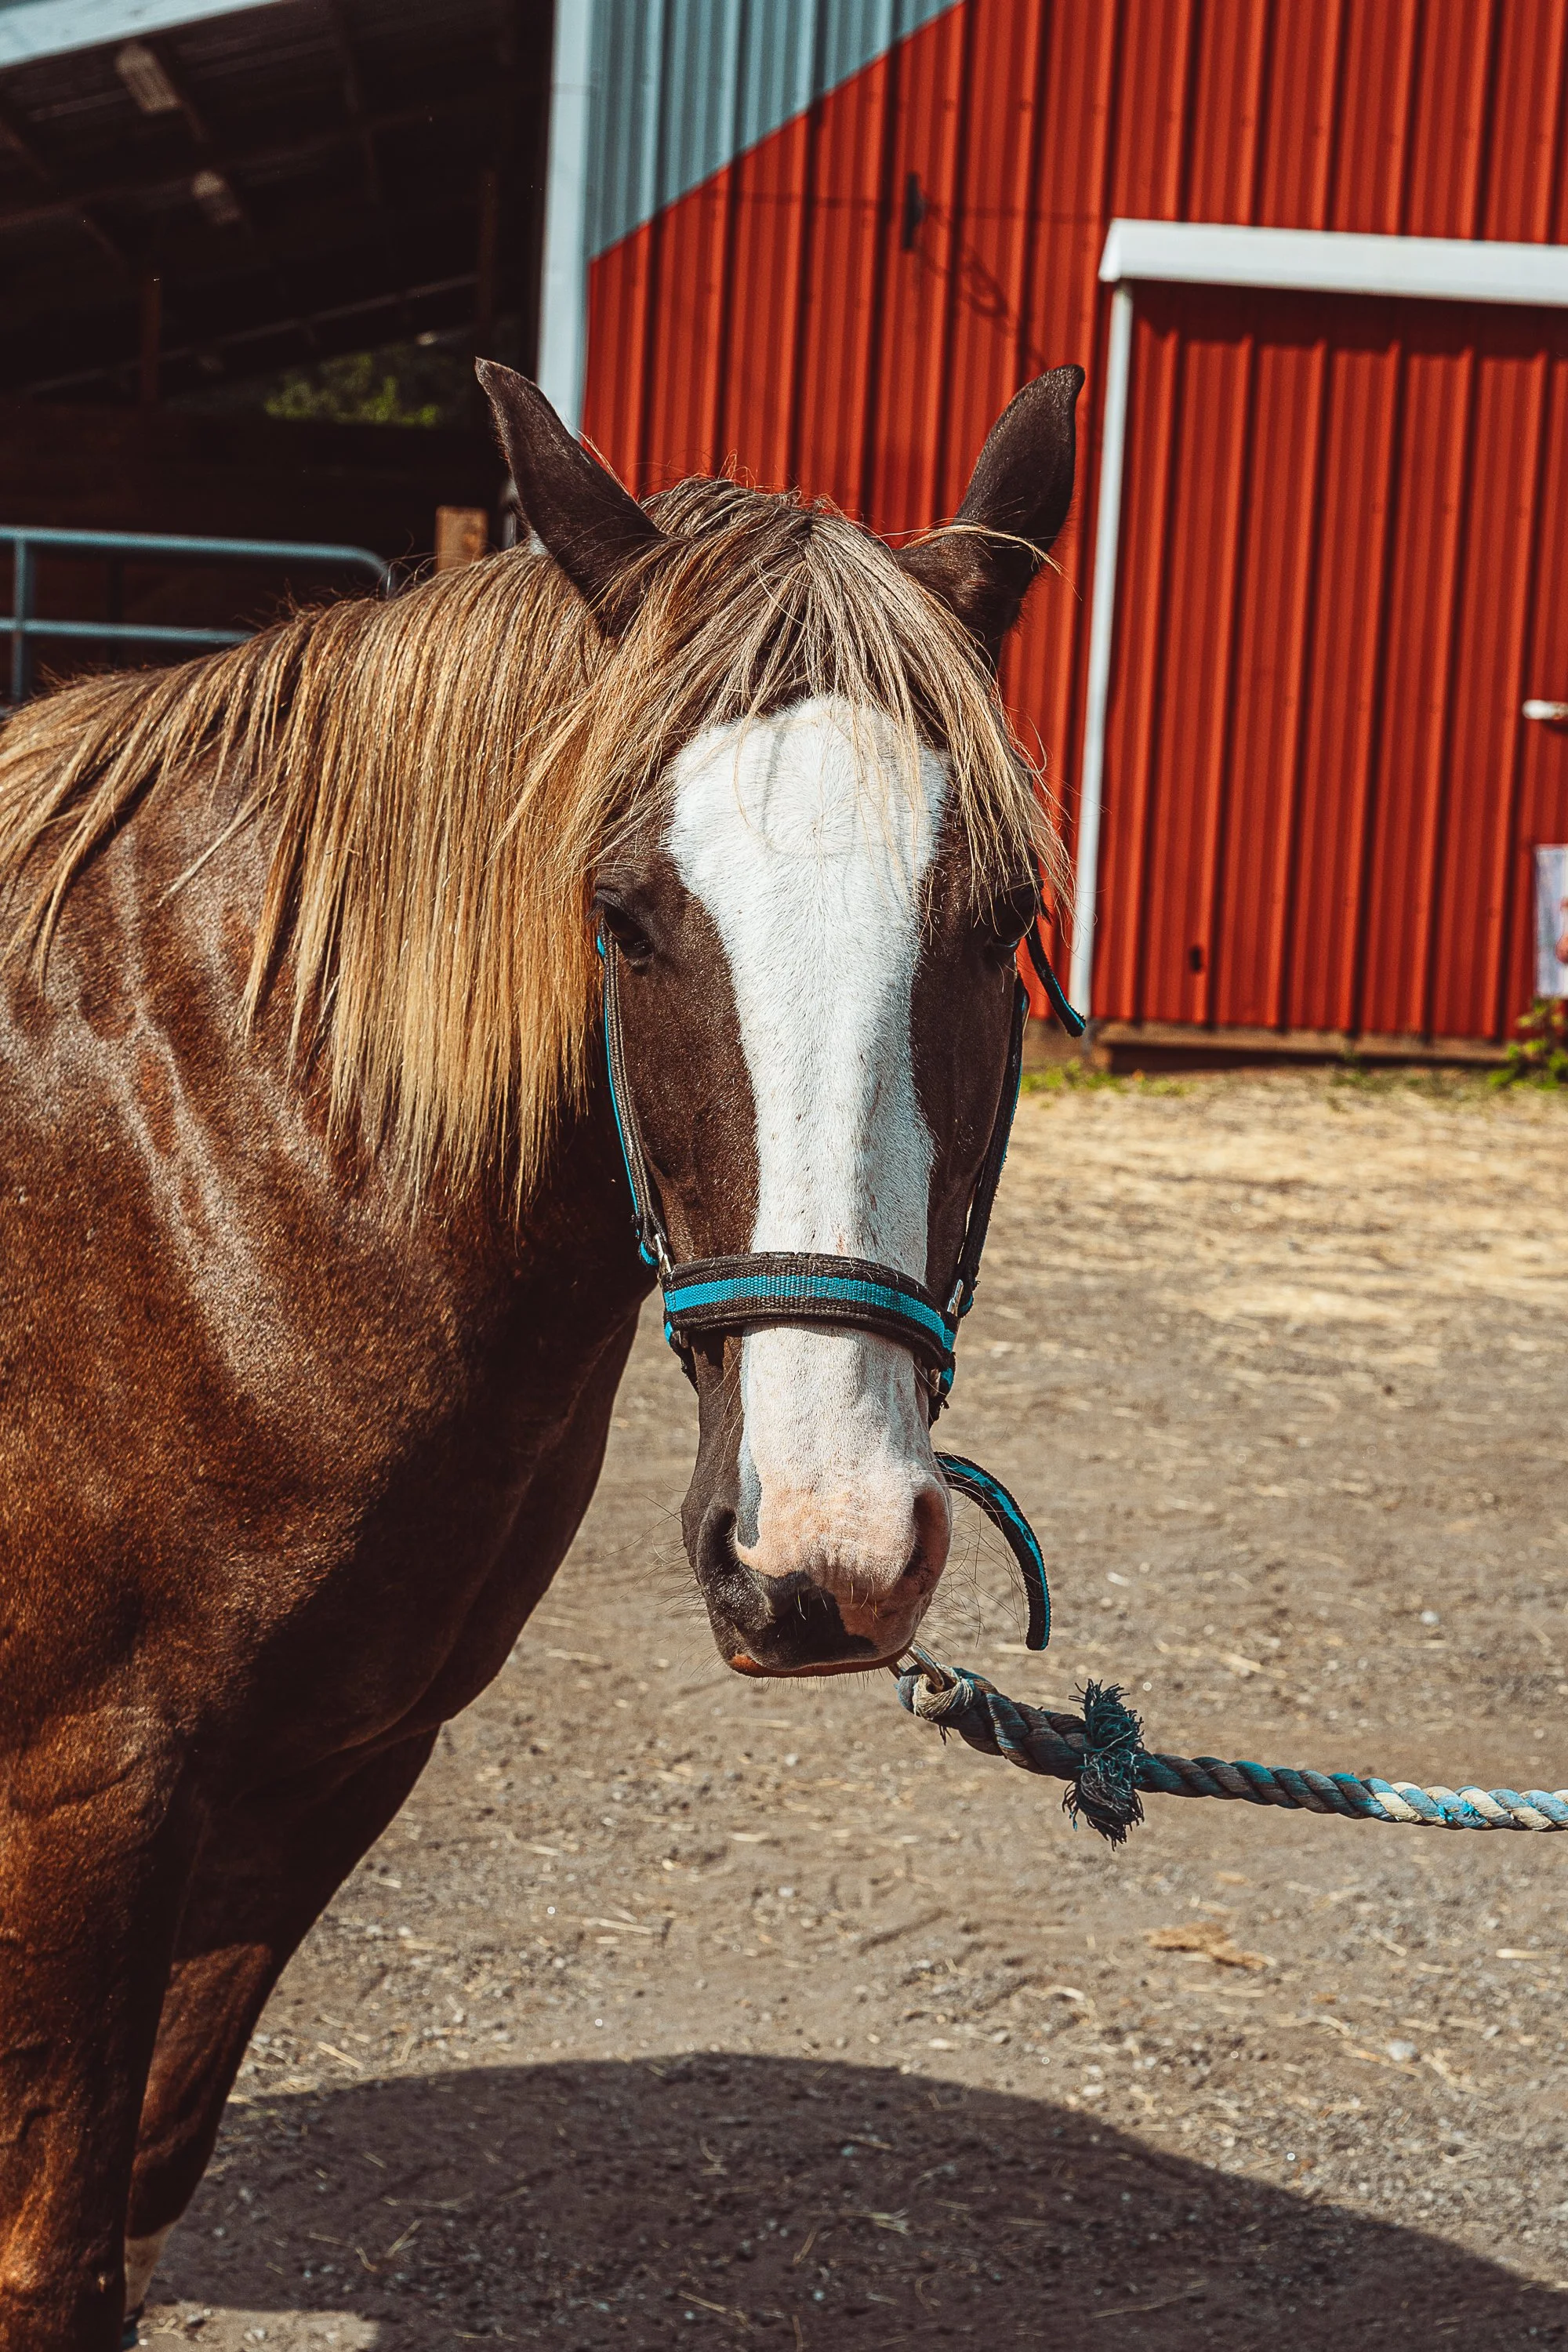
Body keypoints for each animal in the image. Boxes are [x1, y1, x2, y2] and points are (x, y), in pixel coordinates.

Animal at [0, 356, 1081, 2348]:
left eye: (998, 920)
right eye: (625, 915)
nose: (823, 1548)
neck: (194, 1162)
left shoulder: (315, 1778)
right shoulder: (82, 1794)